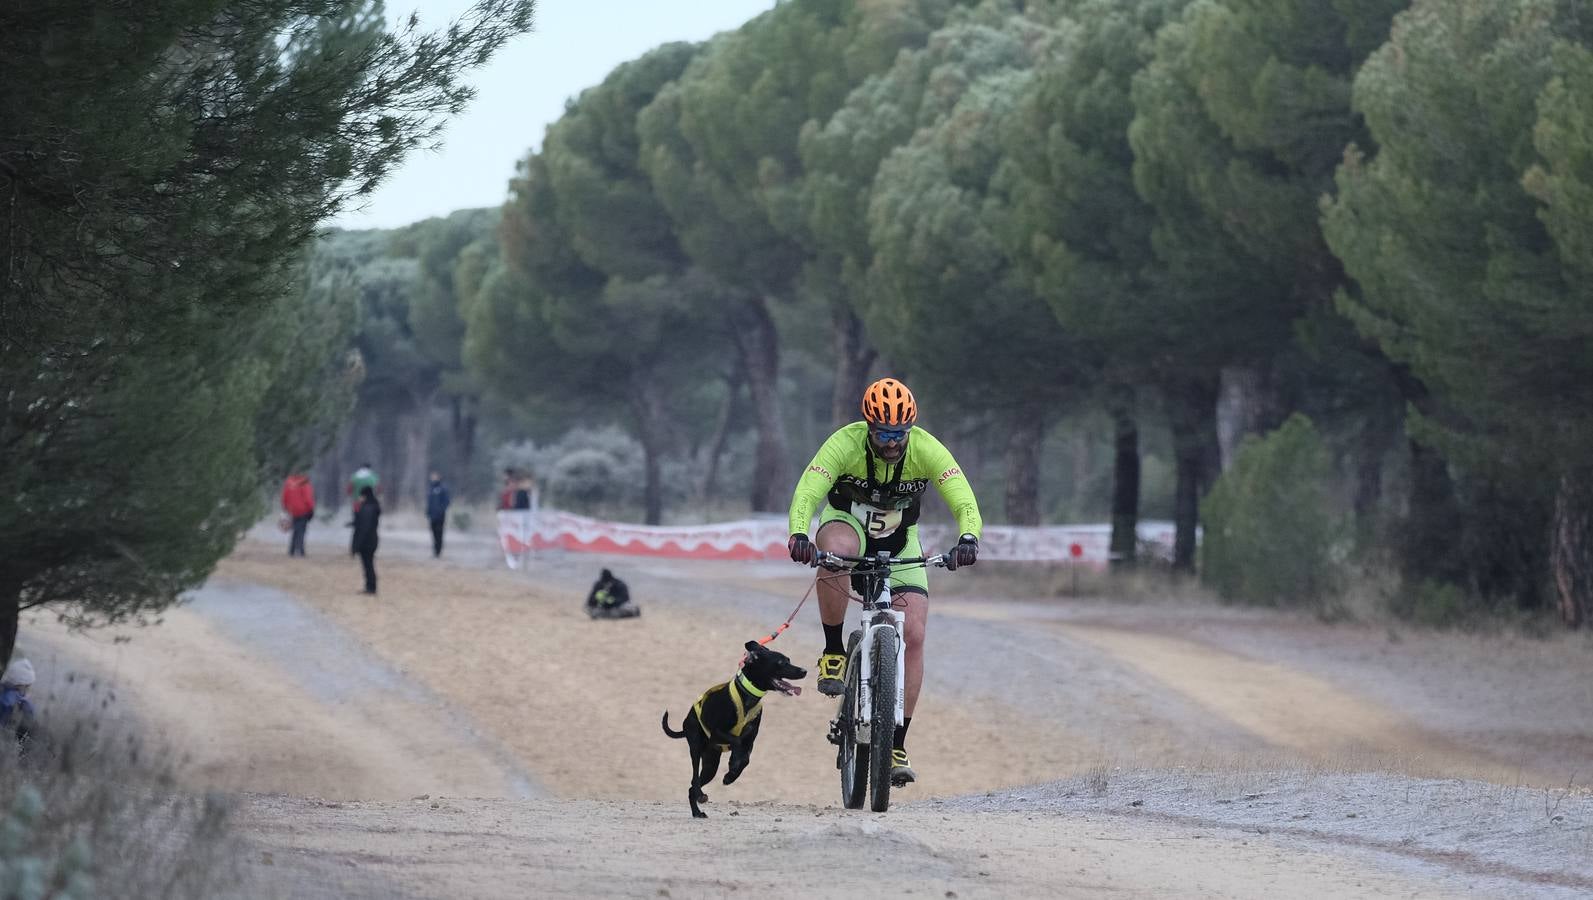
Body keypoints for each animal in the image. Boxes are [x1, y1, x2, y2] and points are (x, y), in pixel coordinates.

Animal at [662, 637, 809, 815]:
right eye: (781, 662)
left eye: (789, 660)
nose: (804, 671)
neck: (748, 695)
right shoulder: (717, 732)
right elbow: (737, 742)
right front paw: (732, 764)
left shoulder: (750, 740)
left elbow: (745, 758)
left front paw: (731, 775)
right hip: (696, 745)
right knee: (694, 777)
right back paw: (700, 797)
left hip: (711, 765)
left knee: (692, 787)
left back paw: (697, 812)